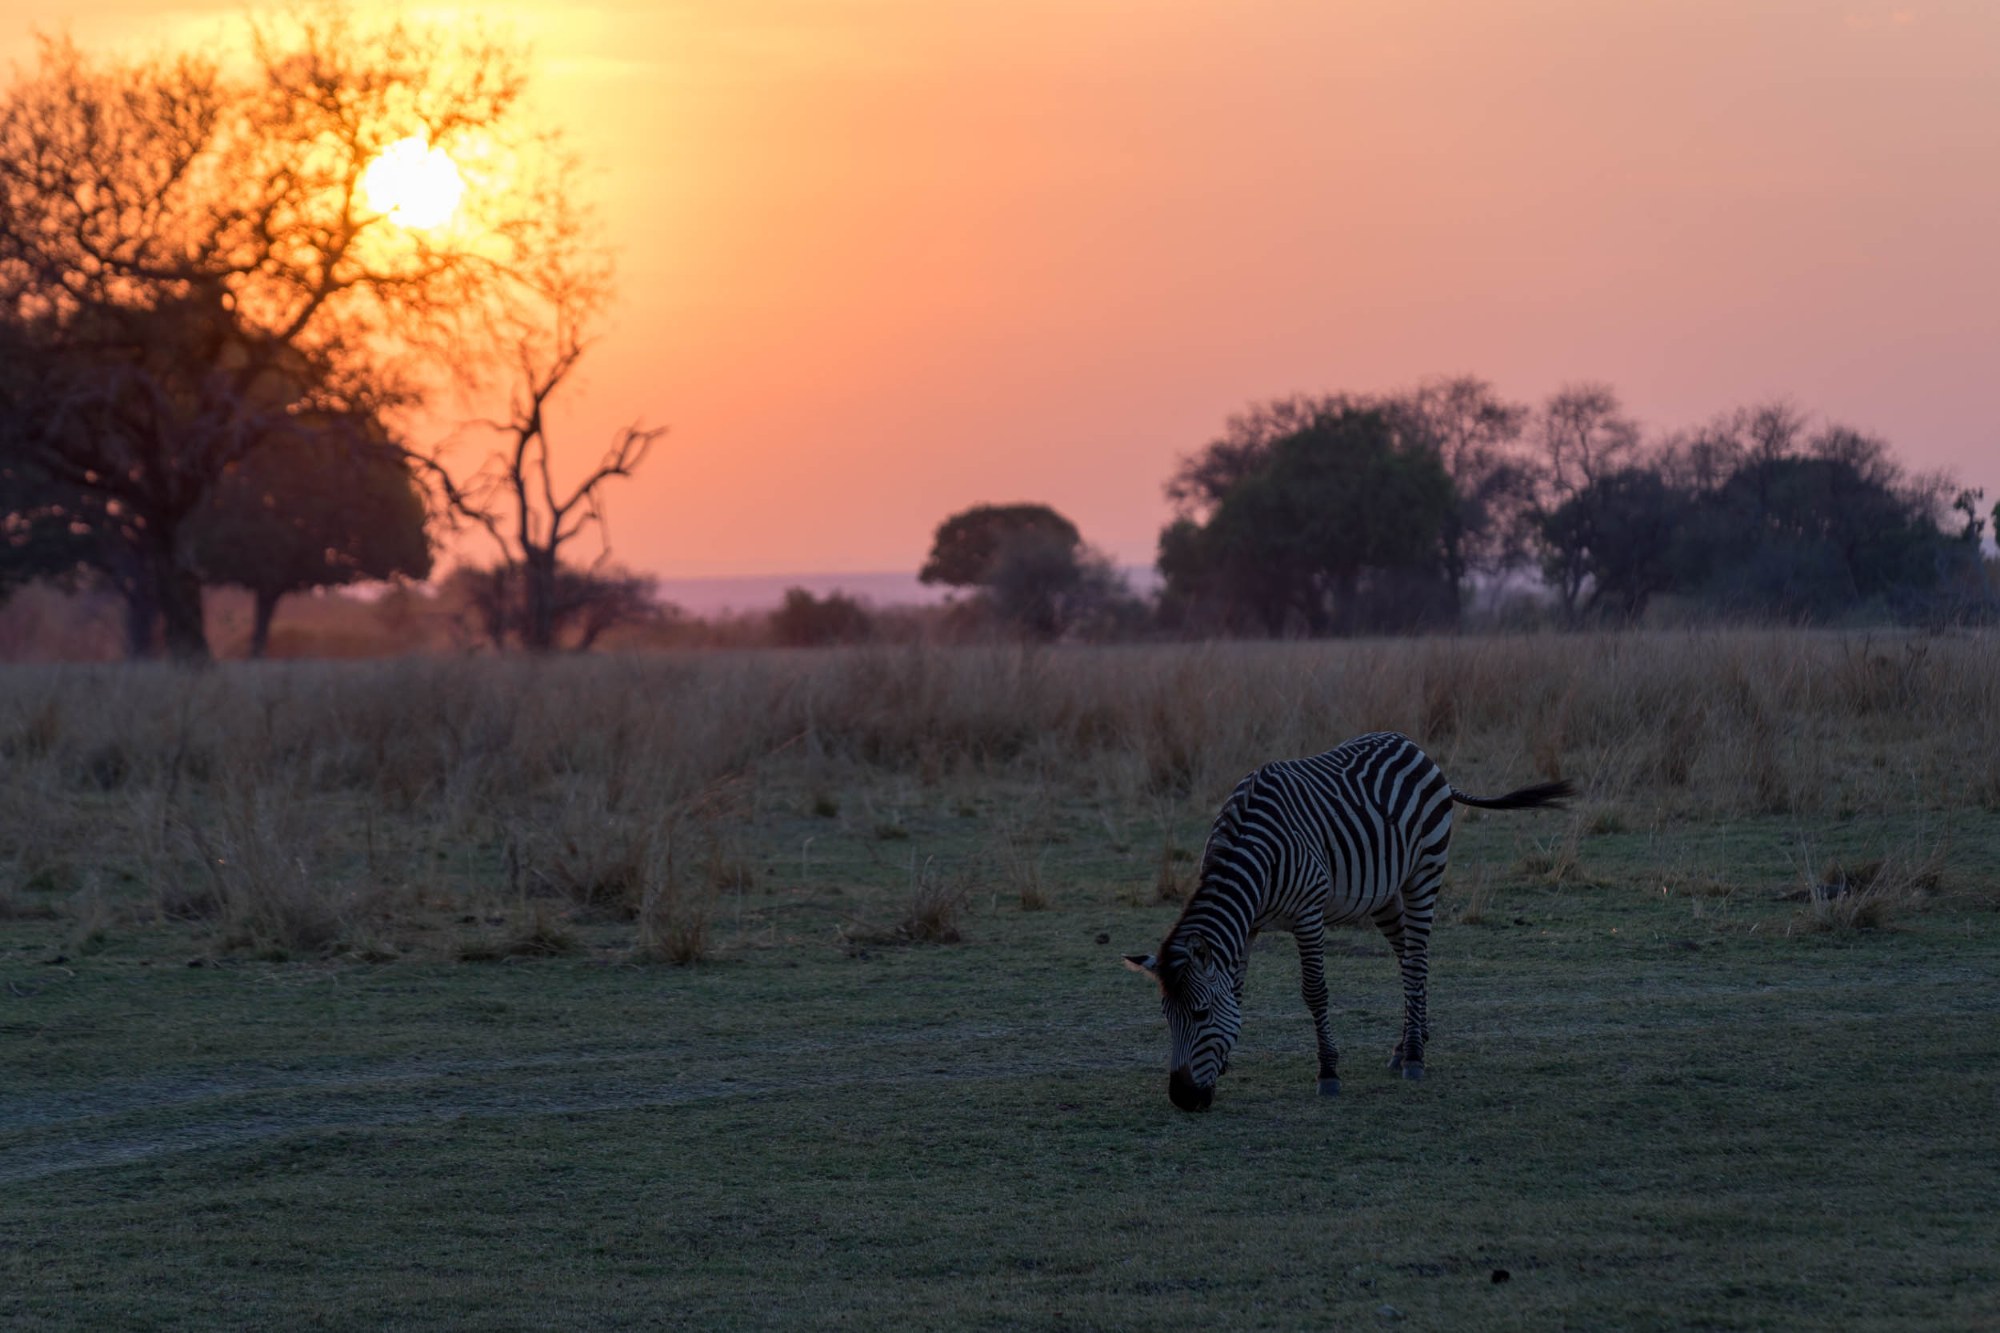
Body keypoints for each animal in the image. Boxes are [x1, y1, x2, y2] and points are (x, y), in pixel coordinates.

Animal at [1124, 731, 1572, 1112]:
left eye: (1200, 1015)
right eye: (1166, 1016)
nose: (1183, 1098)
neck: (1252, 854)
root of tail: (1415, 747)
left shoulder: (1308, 914)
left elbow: (1315, 992)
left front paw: (1328, 1071)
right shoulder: (1247, 924)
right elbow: (1236, 990)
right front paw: (1226, 1061)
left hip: (1424, 873)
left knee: (1417, 961)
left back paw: (1413, 1055)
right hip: (1384, 896)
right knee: (1408, 960)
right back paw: (1409, 1042)